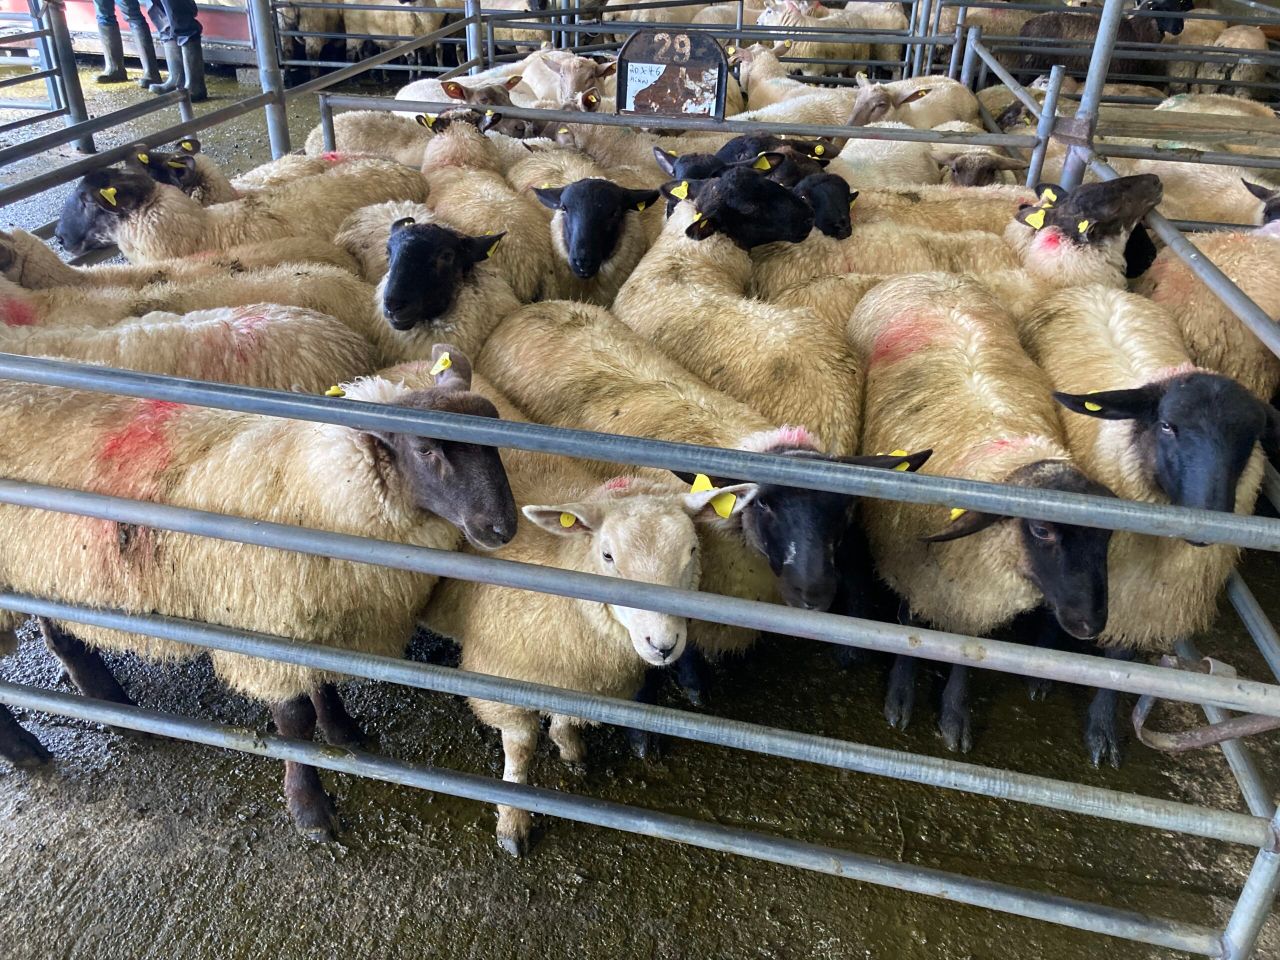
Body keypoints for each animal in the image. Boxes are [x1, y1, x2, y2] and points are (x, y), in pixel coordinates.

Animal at [0, 345, 517, 835]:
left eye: (497, 437)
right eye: (427, 448)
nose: (503, 527)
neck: (313, 488)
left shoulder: (315, 615)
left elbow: (323, 683)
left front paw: (343, 732)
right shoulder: (268, 626)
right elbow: (293, 723)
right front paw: (309, 808)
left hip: (44, 569)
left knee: (63, 637)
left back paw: (117, 712)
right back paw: (26, 748)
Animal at [849, 272, 1115, 752]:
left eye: (1106, 536)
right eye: (1042, 530)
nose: (1090, 625)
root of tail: (929, 275)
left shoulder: (969, 597)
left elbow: (966, 652)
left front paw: (955, 713)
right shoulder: (912, 568)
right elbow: (906, 626)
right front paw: (900, 694)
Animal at [1020, 288, 1276, 766]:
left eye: (1251, 439)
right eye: (1168, 425)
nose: (1211, 522)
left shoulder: (1147, 598)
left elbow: (1122, 660)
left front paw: (1102, 727)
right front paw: (1041, 667)